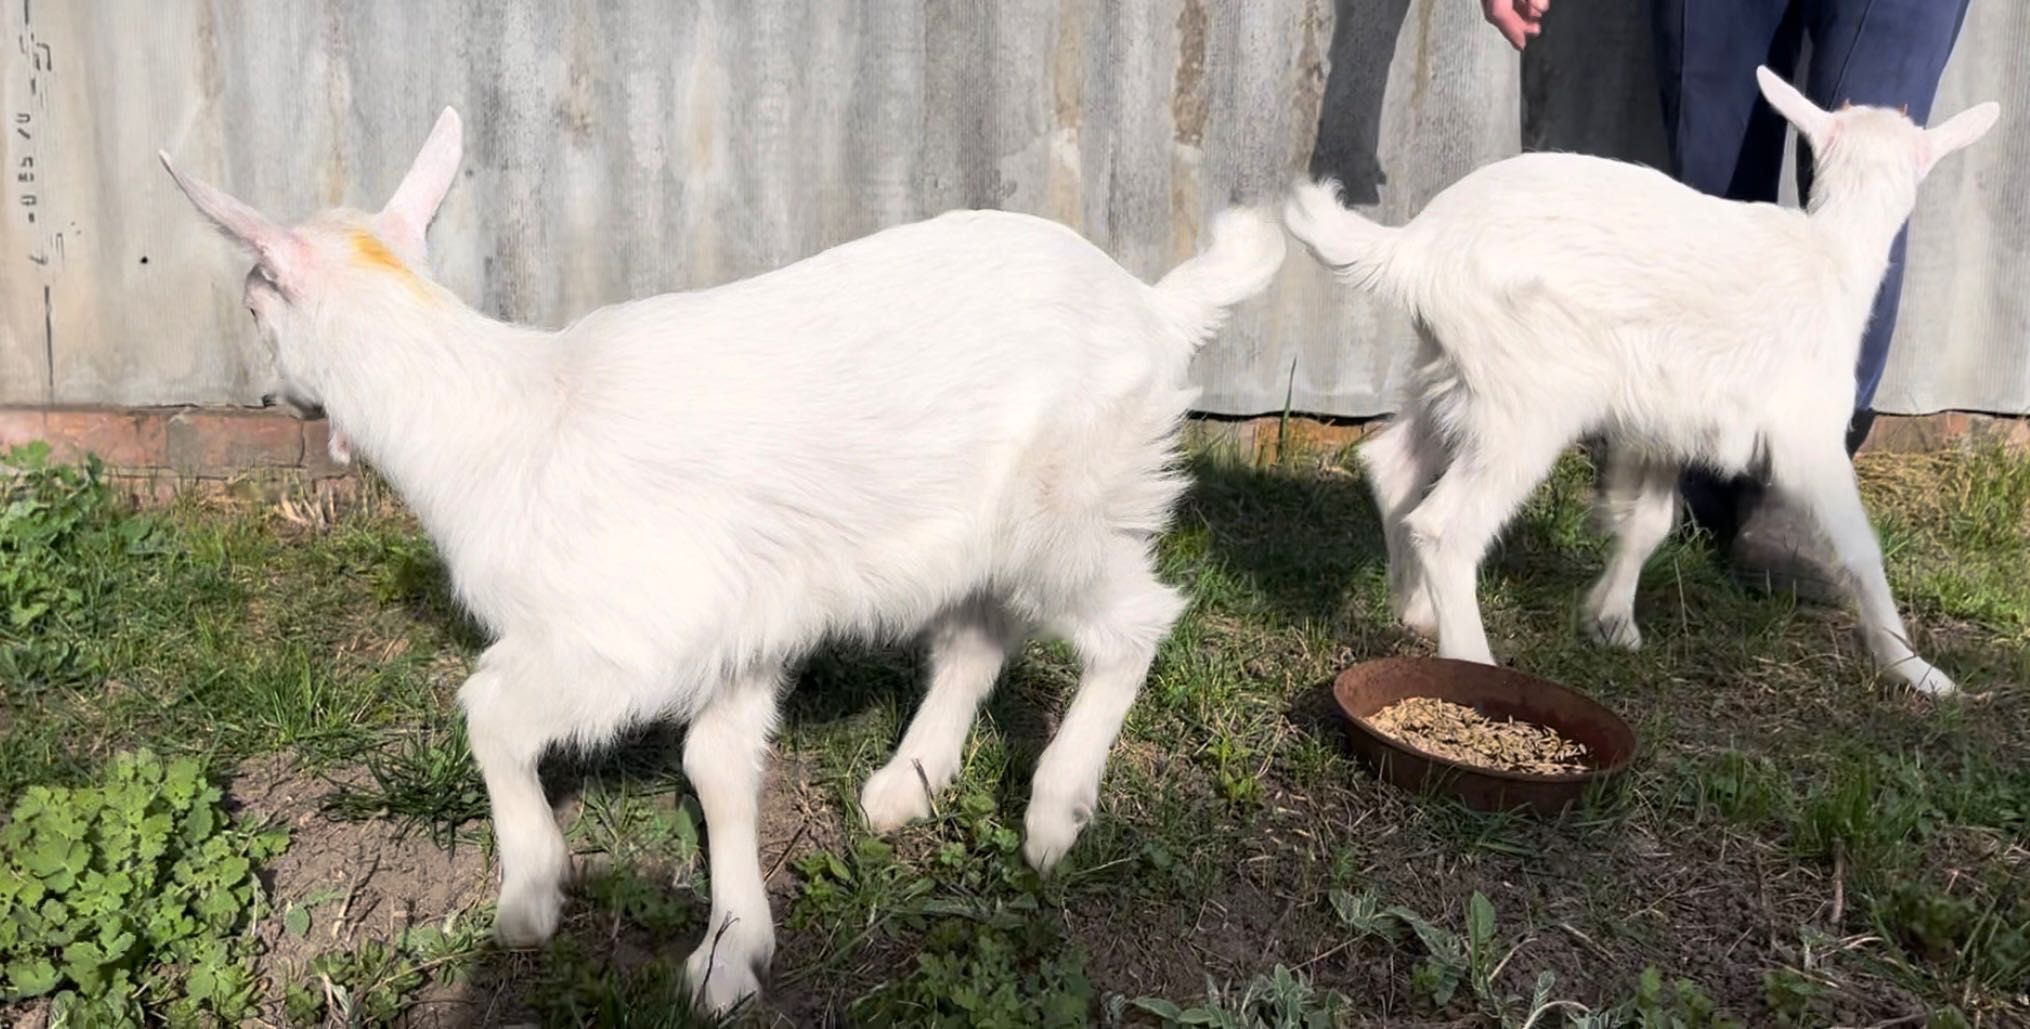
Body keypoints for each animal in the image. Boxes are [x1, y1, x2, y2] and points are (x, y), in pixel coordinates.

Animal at [158, 108, 1274, 1010]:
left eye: (254, 302)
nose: (273, 397)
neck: (496, 414)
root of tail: (1154, 307)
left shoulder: (619, 635)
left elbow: (490, 712)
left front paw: (528, 895)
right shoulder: (744, 624)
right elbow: (718, 766)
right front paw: (733, 954)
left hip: (1073, 506)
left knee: (1132, 624)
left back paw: (1053, 813)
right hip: (979, 531)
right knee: (975, 635)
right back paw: (904, 786)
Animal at [1282, 68, 1997, 702]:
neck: (1832, 249)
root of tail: (1414, 249)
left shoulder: (1660, 420)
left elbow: (1649, 520)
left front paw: (1611, 620)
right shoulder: (1806, 432)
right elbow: (1857, 546)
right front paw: (1915, 670)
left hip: (1454, 373)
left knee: (1392, 464)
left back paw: (1415, 611)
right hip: (1527, 398)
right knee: (1445, 526)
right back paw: (1470, 665)